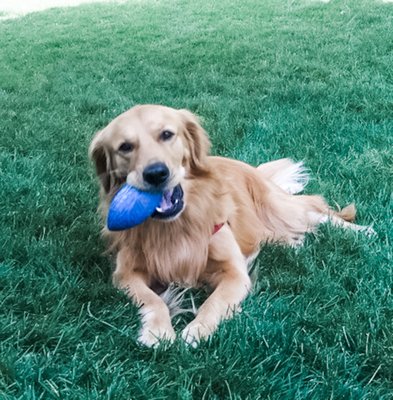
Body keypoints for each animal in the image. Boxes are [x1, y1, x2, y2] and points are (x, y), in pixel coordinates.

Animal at [89, 105, 374, 346]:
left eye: (167, 134)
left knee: (316, 211)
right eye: (125, 147)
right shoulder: (125, 274)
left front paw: (197, 329)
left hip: (277, 208)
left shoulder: (235, 273)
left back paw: (362, 231)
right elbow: (152, 300)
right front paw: (157, 331)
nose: (156, 173)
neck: (176, 225)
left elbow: (213, 302)